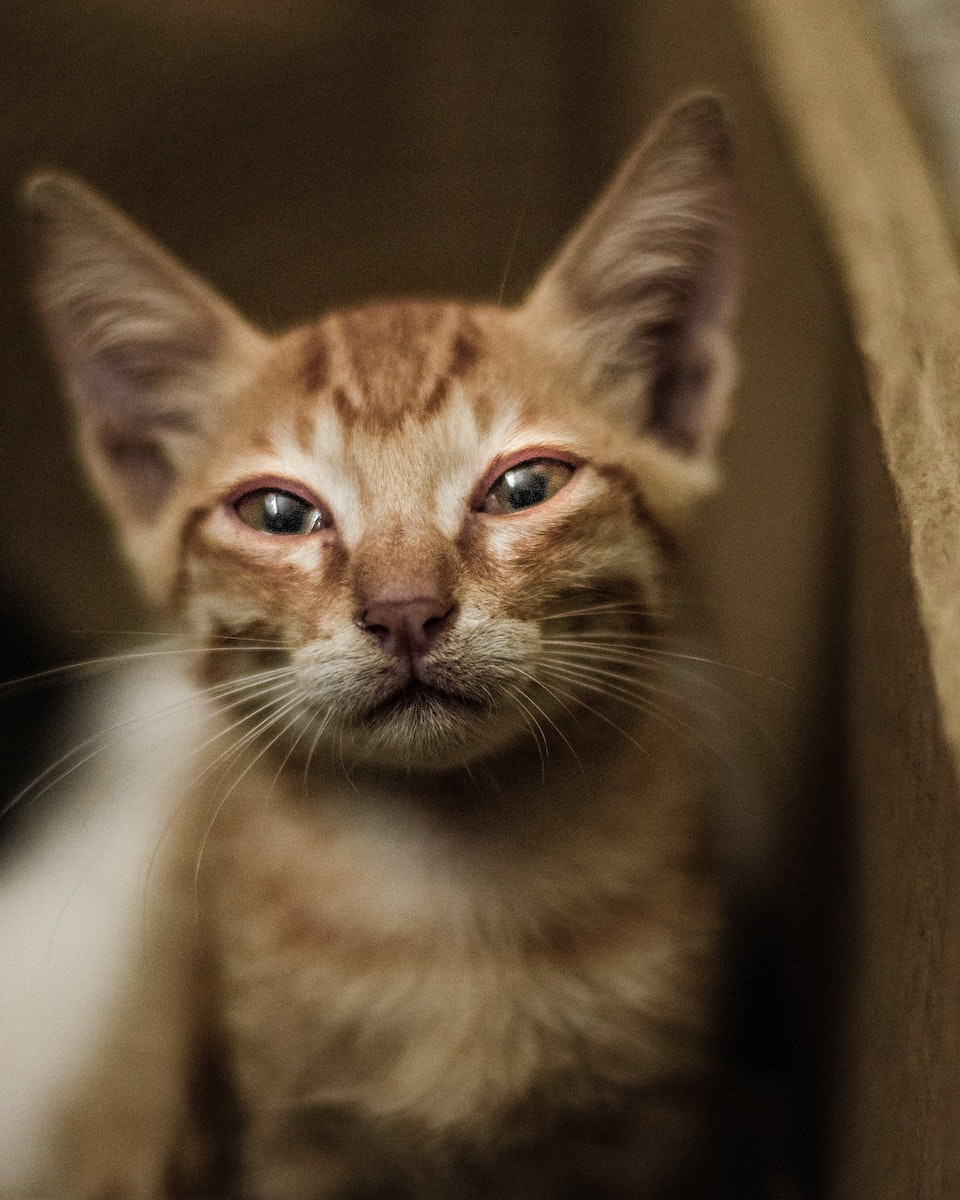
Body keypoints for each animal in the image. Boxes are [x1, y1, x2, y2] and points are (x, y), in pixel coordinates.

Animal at [11, 96, 739, 1200]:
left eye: (526, 487)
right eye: (276, 513)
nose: (405, 611)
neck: (452, 908)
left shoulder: (654, 1130)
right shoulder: (292, 1145)